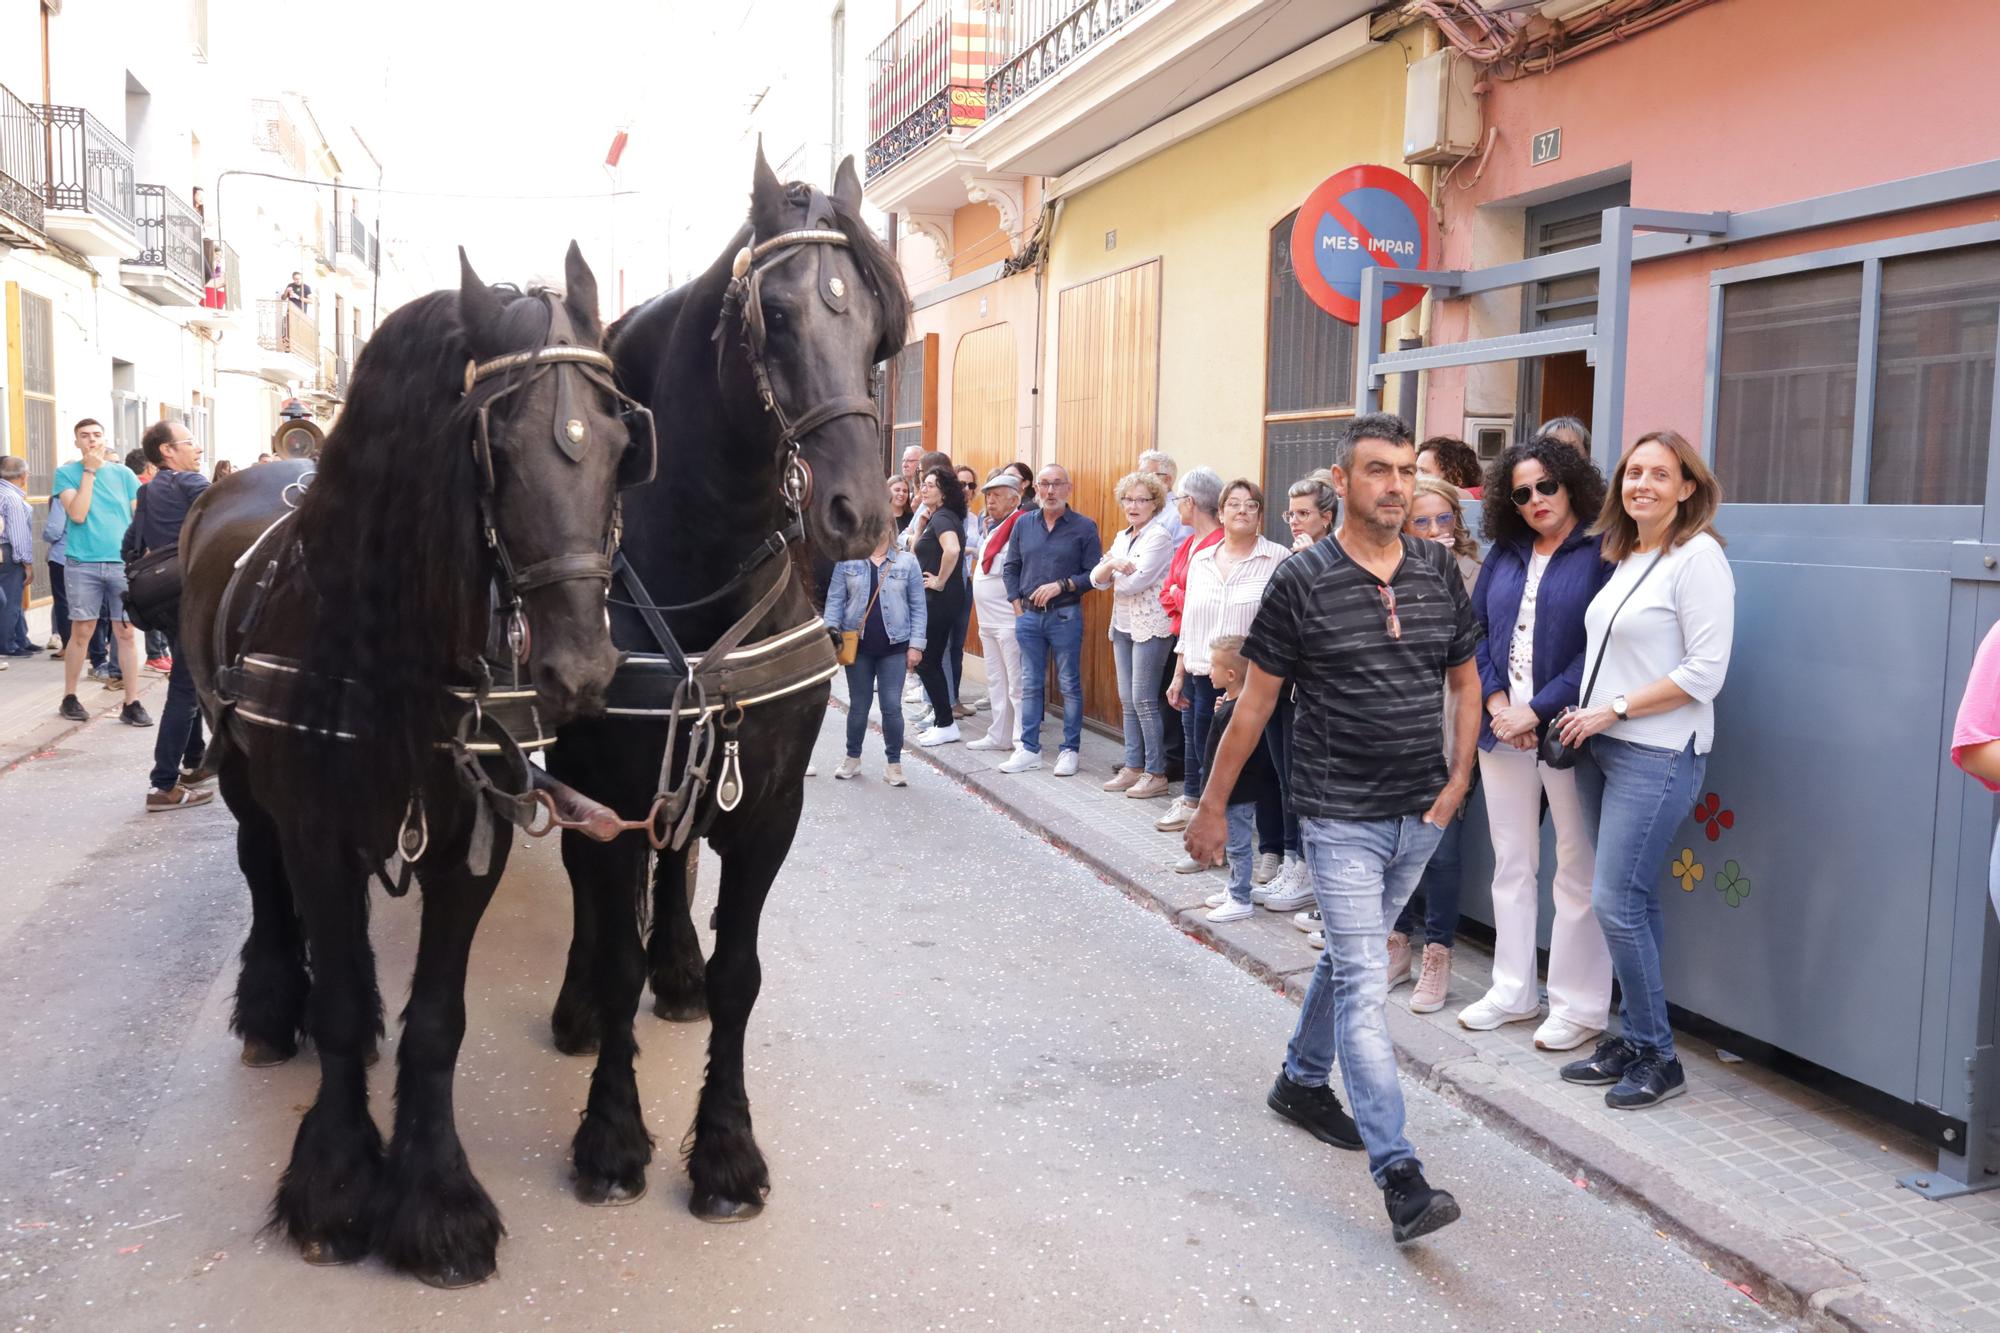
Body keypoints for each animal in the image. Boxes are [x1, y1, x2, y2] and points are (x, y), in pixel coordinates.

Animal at [180, 244, 636, 1280]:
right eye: (495, 444)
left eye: (620, 442)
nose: (582, 669)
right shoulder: (316, 830)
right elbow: (344, 1000)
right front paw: (336, 1180)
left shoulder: (473, 834)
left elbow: (438, 1019)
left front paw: (434, 1197)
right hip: (241, 778)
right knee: (263, 876)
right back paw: (273, 1003)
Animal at [540, 153, 900, 1216]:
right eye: (774, 313)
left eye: (879, 326)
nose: (861, 511)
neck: (695, 561)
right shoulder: (605, 790)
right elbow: (613, 950)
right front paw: (613, 1134)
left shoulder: (769, 804)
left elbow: (741, 969)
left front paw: (728, 1146)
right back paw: (581, 1001)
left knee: (677, 858)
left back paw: (678, 967)